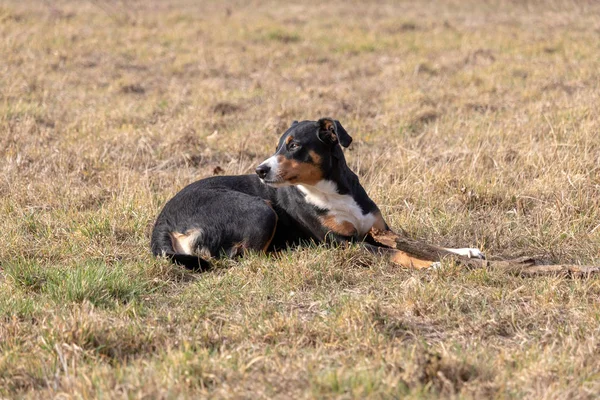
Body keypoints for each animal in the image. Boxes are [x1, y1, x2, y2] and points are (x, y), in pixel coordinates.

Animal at [151, 118, 482, 268]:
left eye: (294, 145)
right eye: (278, 146)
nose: (260, 170)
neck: (332, 191)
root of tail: (163, 219)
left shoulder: (379, 230)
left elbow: (422, 243)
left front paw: (464, 252)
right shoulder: (347, 244)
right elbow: (400, 252)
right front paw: (434, 266)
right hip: (261, 210)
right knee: (241, 258)